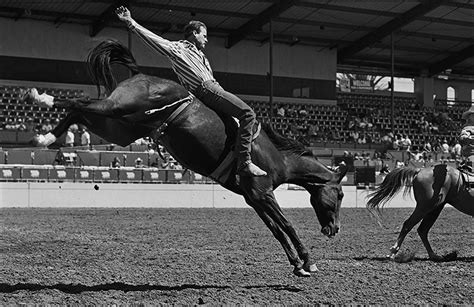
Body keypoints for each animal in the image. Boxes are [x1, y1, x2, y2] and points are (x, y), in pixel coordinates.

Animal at [23, 39, 348, 278]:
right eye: (341, 194)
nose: (333, 230)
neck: (277, 156)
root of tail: (140, 74)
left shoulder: (253, 198)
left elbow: (277, 230)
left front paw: (297, 264)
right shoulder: (263, 193)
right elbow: (288, 225)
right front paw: (308, 261)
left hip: (120, 127)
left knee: (78, 111)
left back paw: (44, 136)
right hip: (118, 108)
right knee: (78, 102)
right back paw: (39, 99)